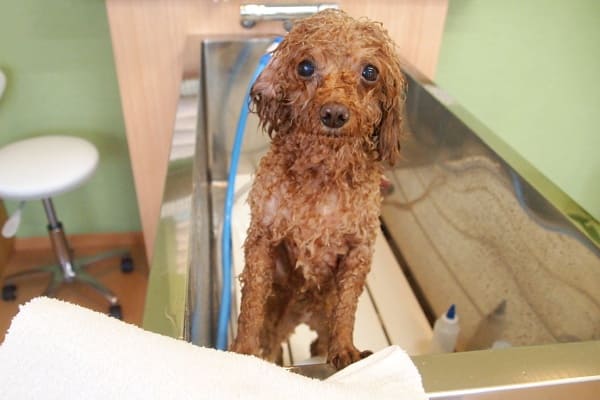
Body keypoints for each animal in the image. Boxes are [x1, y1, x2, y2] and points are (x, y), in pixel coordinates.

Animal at [231, 9, 405, 370]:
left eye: (370, 72)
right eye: (306, 67)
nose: (335, 114)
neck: (323, 172)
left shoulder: (359, 250)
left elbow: (346, 309)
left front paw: (346, 350)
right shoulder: (262, 238)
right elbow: (252, 302)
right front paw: (243, 350)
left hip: (320, 317)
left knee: (322, 336)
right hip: (278, 319)